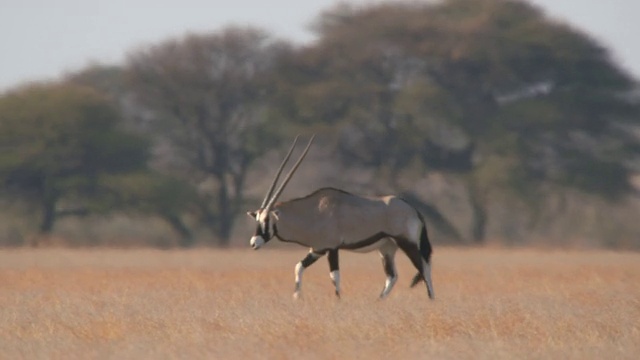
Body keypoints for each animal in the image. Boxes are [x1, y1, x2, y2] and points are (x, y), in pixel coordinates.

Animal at [246, 136, 436, 300]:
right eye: (257, 220)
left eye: (267, 221)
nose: (254, 243)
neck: (313, 211)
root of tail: (414, 210)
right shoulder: (317, 249)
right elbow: (298, 267)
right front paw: (296, 297)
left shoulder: (332, 248)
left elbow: (334, 276)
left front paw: (338, 300)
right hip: (386, 248)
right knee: (392, 276)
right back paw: (378, 301)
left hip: (407, 243)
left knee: (424, 269)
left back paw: (430, 300)